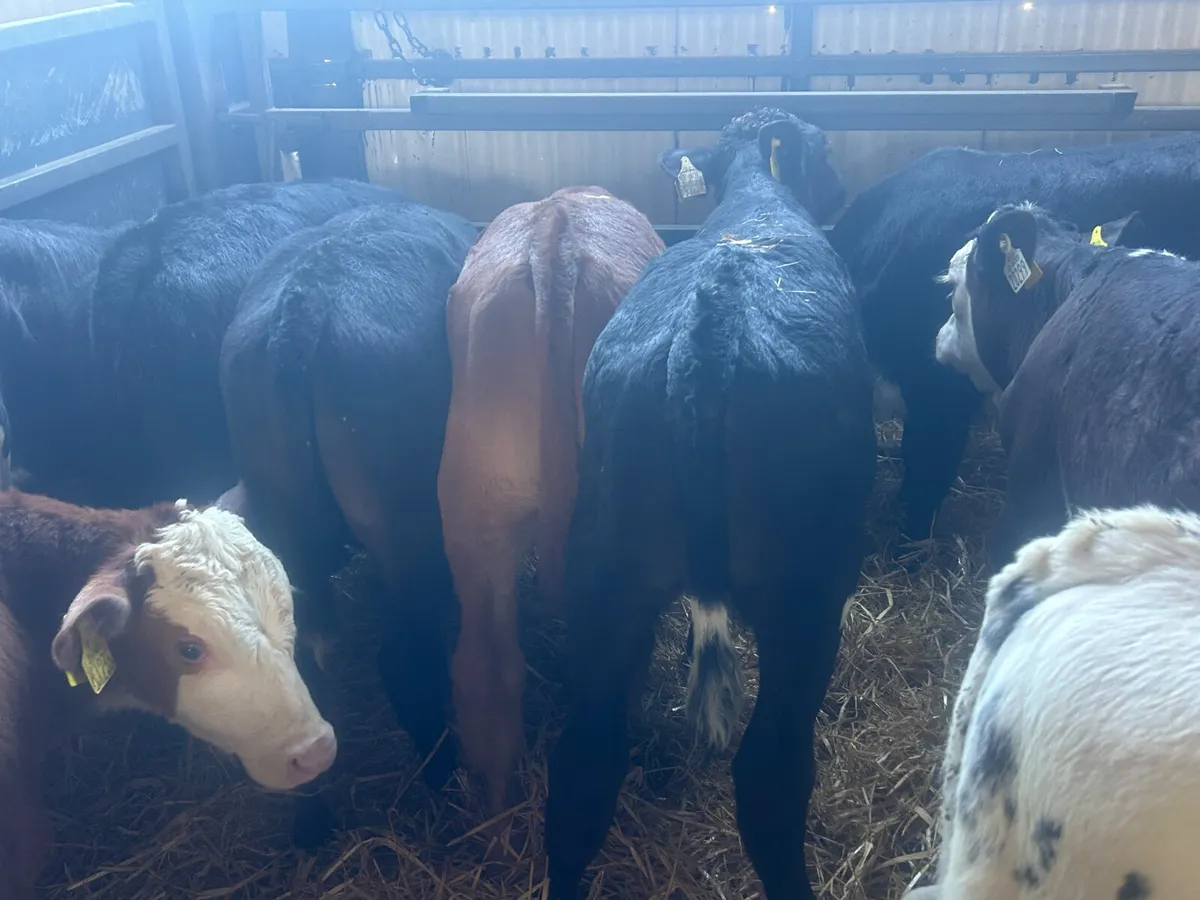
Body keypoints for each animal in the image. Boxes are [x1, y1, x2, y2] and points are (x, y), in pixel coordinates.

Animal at [219, 200, 477, 847]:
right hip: (406, 526)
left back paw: (311, 820)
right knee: (404, 662)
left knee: (293, 674)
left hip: (281, 518)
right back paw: (443, 779)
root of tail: (304, 307)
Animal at [544, 108, 876, 900]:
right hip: (806, 595)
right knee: (772, 776)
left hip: (602, 572)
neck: (756, 202)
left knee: (583, 768)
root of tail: (712, 325)